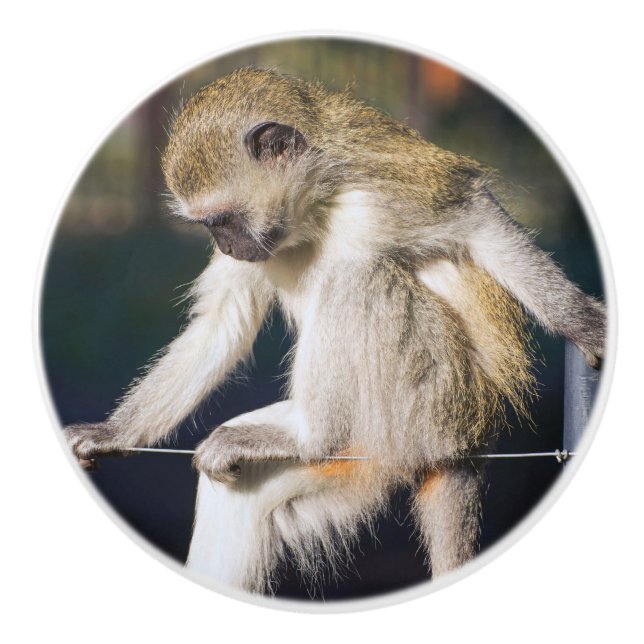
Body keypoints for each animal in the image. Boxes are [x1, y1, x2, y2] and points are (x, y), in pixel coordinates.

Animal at [65, 67, 606, 594]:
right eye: (208, 226)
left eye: (223, 220)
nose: (225, 246)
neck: (314, 210)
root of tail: (470, 444)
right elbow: (221, 324)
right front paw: (111, 433)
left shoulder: (381, 195)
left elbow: (476, 219)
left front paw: (582, 321)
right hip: (375, 451)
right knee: (242, 492)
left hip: (432, 406)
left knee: (356, 276)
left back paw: (311, 435)